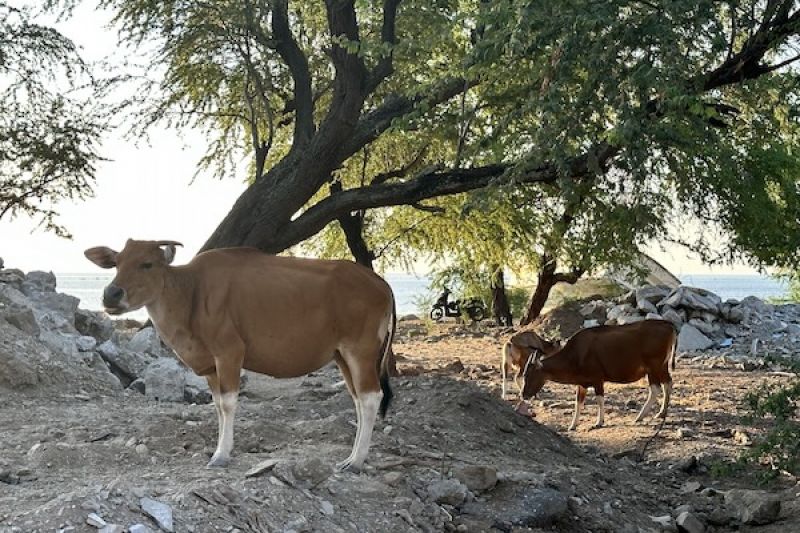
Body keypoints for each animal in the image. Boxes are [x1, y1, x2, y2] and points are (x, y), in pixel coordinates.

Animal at [85, 239, 395, 471]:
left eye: (147, 264)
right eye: (117, 263)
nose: (111, 294)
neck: (191, 292)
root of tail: (380, 283)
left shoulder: (230, 353)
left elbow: (229, 403)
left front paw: (221, 455)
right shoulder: (211, 366)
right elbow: (218, 405)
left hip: (360, 351)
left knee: (371, 397)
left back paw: (356, 461)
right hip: (342, 355)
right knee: (358, 399)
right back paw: (352, 456)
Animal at [516, 320, 677, 430]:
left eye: (529, 375)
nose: (523, 395)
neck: (576, 355)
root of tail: (669, 325)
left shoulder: (598, 379)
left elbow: (599, 399)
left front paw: (599, 422)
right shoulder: (582, 383)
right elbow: (578, 402)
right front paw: (572, 425)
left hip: (653, 367)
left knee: (655, 388)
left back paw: (640, 416)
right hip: (662, 366)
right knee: (667, 383)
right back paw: (662, 413)